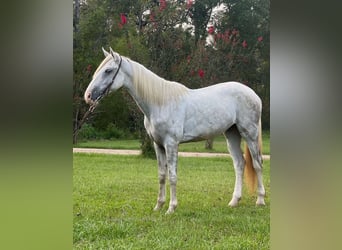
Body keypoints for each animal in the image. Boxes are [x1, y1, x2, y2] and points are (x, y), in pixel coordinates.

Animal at [84, 47, 266, 214]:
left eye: (108, 71)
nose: (88, 96)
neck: (160, 103)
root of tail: (253, 94)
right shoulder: (158, 145)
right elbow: (161, 175)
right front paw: (158, 206)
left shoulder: (171, 144)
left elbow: (172, 175)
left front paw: (171, 208)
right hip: (231, 134)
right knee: (239, 164)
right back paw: (234, 202)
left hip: (249, 134)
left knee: (257, 164)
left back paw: (260, 200)